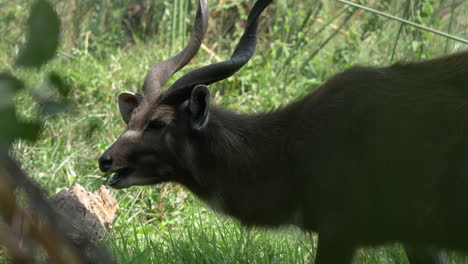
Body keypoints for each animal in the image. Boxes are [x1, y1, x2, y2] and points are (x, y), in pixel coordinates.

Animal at [98, 0, 468, 262]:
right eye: (130, 120)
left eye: (158, 122)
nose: (105, 159)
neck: (289, 147)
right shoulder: (416, 236)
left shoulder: (340, 227)